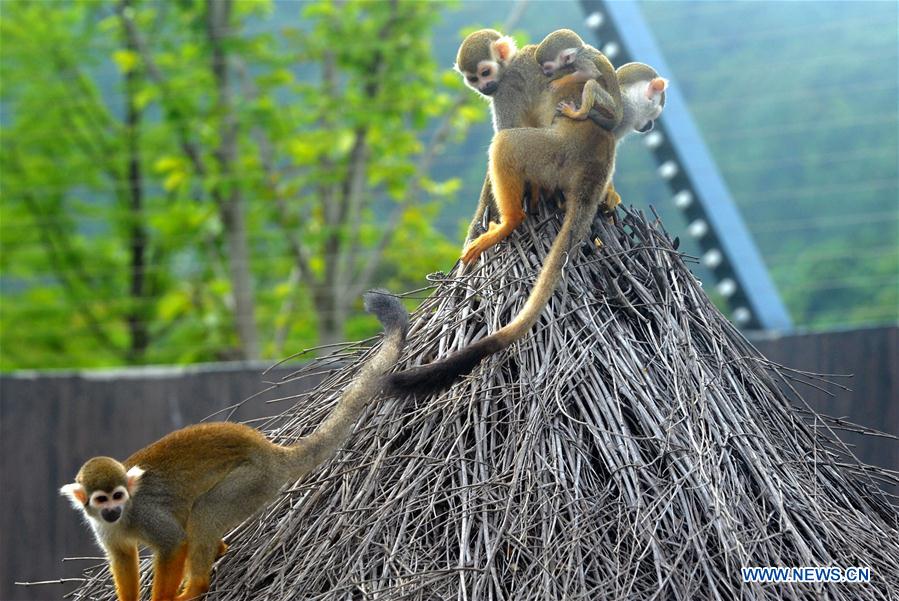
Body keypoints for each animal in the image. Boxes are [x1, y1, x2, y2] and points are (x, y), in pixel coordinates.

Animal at [63, 290, 412, 600]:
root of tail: (270, 451)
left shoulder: (145, 512)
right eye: (102, 499)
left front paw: (160, 599)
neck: (126, 516)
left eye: (119, 496)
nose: (112, 510)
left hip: (251, 482)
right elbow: (123, 557)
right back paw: (214, 553)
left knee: (204, 513)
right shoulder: (103, 528)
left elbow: (173, 544)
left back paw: (196, 587)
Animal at [382, 55, 660, 398]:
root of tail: (591, 163)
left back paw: (514, 217)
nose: (650, 124)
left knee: (507, 142)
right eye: (655, 108)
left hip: (555, 154)